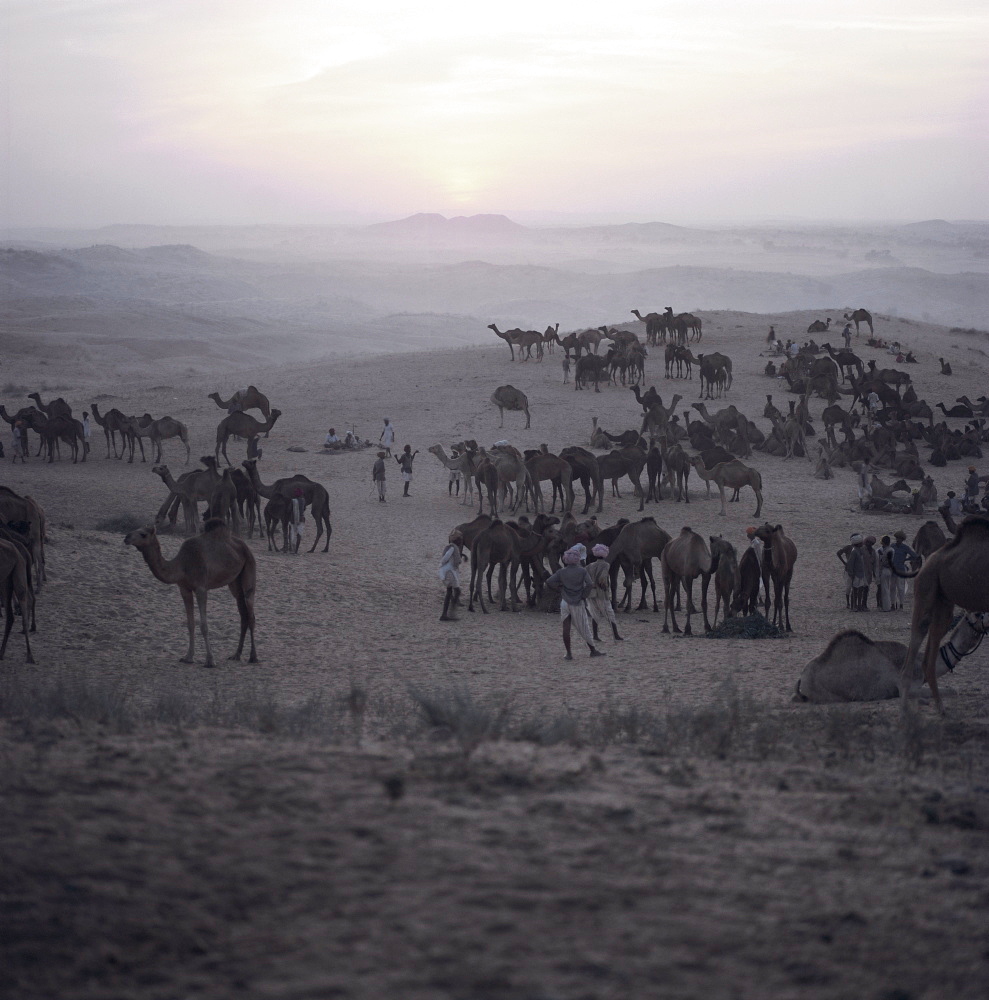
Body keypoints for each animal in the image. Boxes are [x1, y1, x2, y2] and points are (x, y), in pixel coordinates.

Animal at [123, 520, 256, 668]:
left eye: (143, 534)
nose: (126, 537)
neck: (182, 565)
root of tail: (245, 546)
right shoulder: (184, 589)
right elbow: (190, 624)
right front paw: (188, 657)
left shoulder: (201, 588)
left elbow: (204, 625)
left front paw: (210, 660)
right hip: (234, 582)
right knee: (243, 612)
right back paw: (236, 655)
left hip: (250, 566)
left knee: (250, 611)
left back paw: (253, 657)